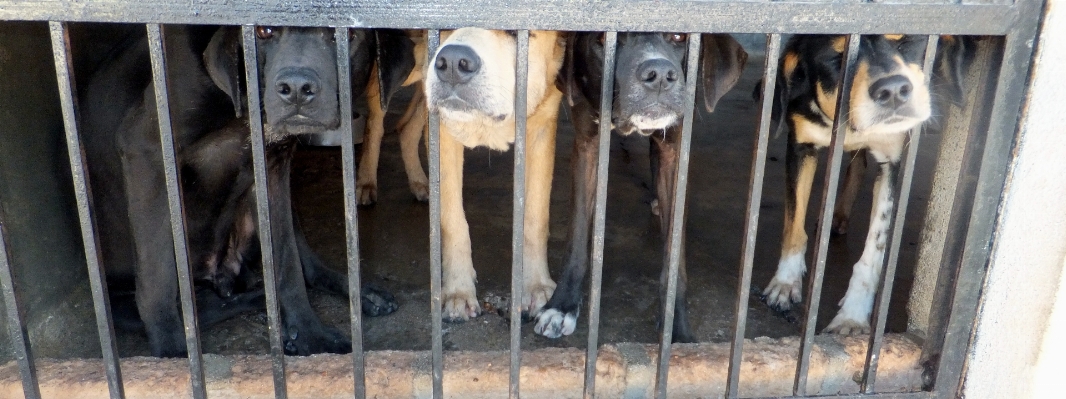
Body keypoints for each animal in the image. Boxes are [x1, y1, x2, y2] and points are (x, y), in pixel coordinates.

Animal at [77, 25, 411, 356]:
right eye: (263, 31)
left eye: (347, 35)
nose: (297, 88)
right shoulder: (145, 150)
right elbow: (158, 279)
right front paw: (172, 355)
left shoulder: (273, 168)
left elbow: (288, 265)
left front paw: (309, 335)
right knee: (203, 306)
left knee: (304, 265)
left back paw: (355, 295)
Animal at [533, 32, 750, 341]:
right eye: (603, 39)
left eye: (679, 37)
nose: (658, 74)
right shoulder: (587, 145)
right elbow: (576, 239)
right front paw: (562, 305)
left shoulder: (675, 150)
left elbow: (675, 259)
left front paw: (675, 330)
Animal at [758, 33, 976, 332]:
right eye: (837, 57)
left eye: (905, 43)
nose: (893, 90)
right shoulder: (801, 147)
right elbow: (794, 228)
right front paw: (785, 283)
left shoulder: (892, 165)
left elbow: (873, 251)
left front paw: (852, 316)